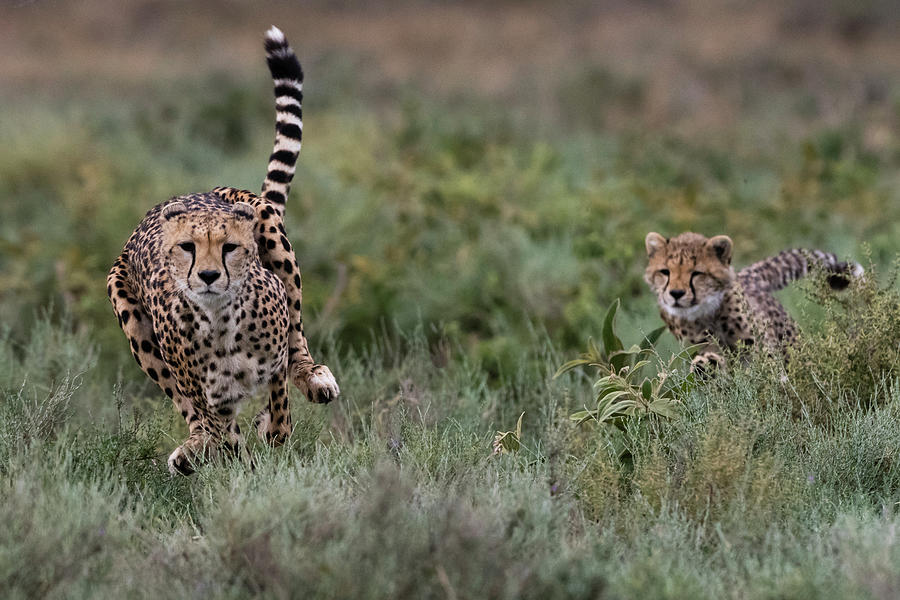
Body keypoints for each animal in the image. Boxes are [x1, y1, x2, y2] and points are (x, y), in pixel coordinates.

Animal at [108, 27, 338, 474]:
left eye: (230, 248)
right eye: (187, 248)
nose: (209, 276)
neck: (220, 322)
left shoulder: (272, 361)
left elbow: (280, 398)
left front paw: (272, 433)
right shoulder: (208, 395)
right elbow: (223, 429)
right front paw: (237, 459)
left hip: (271, 232)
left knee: (298, 340)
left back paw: (315, 378)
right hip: (131, 317)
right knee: (188, 407)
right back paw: (194, 448)